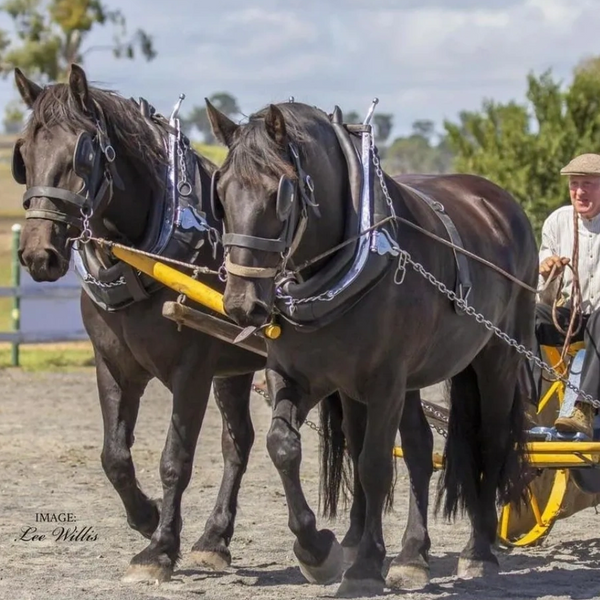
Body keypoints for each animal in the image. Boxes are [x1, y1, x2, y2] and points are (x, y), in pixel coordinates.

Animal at [207, 99, 540, 596]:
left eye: (278, 194)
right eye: (222, 193)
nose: (243, 304)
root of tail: (498, 202)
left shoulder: (385, 382)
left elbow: (375, 466)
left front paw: (364, 565)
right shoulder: (304, 377)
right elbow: (284, 445)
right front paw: (319, 550)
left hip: (498, 359)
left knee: (490, 441)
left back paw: (478, 551)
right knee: (419, 448)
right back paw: (412, 555)